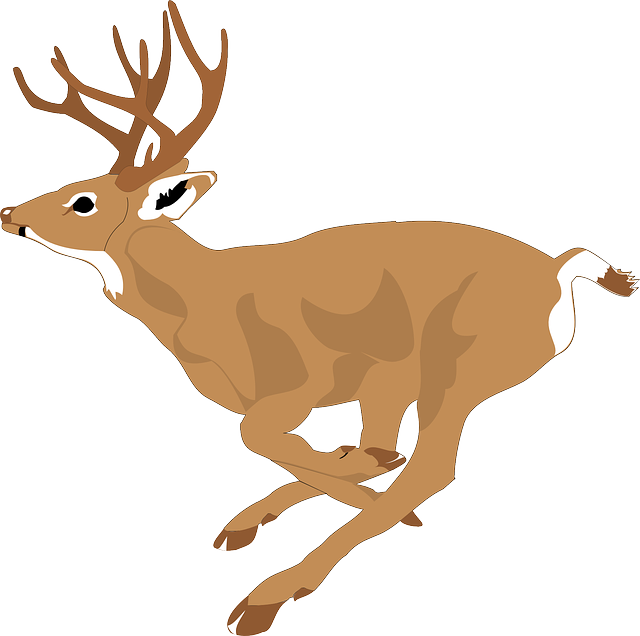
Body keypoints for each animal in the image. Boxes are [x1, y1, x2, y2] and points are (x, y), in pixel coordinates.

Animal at [1, 2, 637, 635]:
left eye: (84, 201)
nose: (8, 213)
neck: (200, 302)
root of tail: (556, 271)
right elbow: (307, 448)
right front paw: (320, 476)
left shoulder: (303, 378)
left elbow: (257, 434)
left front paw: (334, 489)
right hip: (398, 378)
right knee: (387, 453)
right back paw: (272, 515)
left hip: (459, 362)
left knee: (430, 468)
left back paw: (268, 595)